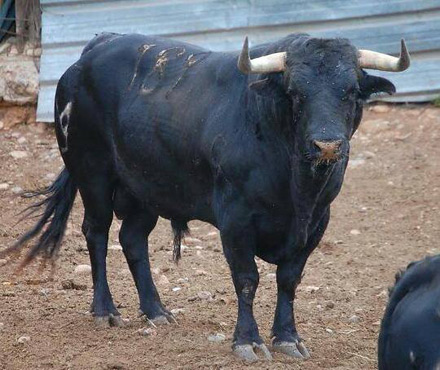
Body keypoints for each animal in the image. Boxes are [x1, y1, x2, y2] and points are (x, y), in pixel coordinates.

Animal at [2, 32, 410, 362]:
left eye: (351, 92)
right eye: (296, 93)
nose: (327, 144)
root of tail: (95, 48)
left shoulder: (317, 221)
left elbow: (289, 280)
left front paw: (288, 338)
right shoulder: (236, 220)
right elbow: (247, 279)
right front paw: (248, 341)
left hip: (145, 189)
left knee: (132, 239)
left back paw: (156, 310)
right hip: (93, 175)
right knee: (97, 234)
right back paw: (105, 310)